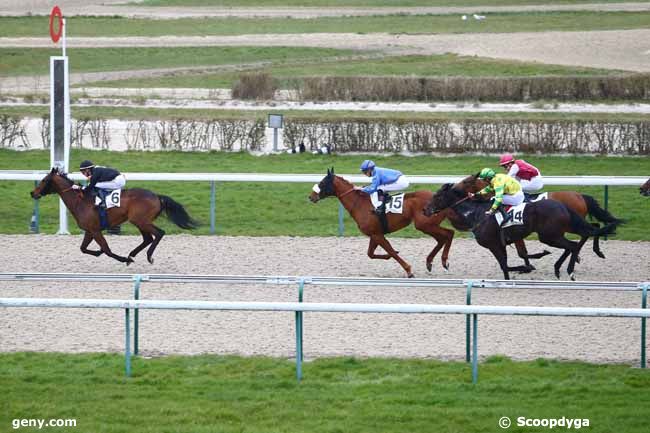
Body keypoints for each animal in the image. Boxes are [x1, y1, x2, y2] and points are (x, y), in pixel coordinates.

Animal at [30, 167, 197, 264]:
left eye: (44, 180)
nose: (33, 193)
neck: (80, 201)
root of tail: (157, 196)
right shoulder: (90, 230)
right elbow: (83, 248)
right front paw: (99, 252)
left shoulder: (95, 230)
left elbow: (107, 250)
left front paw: (121, 259)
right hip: (139, 222)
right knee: (148, 238)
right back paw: (132, 255)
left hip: (141, 221)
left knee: (159, 233)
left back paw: (147, 256)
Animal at [308, 168, 450, 276]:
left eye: (322, 183)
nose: (311, 197)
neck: (360, 204)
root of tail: (440, 199)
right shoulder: (374, 234)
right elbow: (371, 254)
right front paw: (389, 256)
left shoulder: (377, 235)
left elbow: (390, 251)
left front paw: (408, 270)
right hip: (428, 225)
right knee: (443, 238)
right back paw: (433, 262)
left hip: (424, 225)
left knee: (448, 234)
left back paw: (442, 261)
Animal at [426, 183, 616, 280]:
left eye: (437, 196)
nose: (425, 210)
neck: (476, 213)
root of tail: (564, 204)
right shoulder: (501, 243)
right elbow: (509, 264)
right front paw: (526, 267)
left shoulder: (494, 244)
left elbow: (507, 264)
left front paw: (527, 267)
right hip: (561, 229)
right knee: (588, 232)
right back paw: (564, 266)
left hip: (549, 235)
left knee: (575, 243)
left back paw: (569, 270)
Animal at [454, 174, 620, 258]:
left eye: (466, 181)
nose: (454, 187)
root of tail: (580, 196)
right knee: (594, 227)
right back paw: (594, 251)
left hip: (571, 222)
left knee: (588, 231)